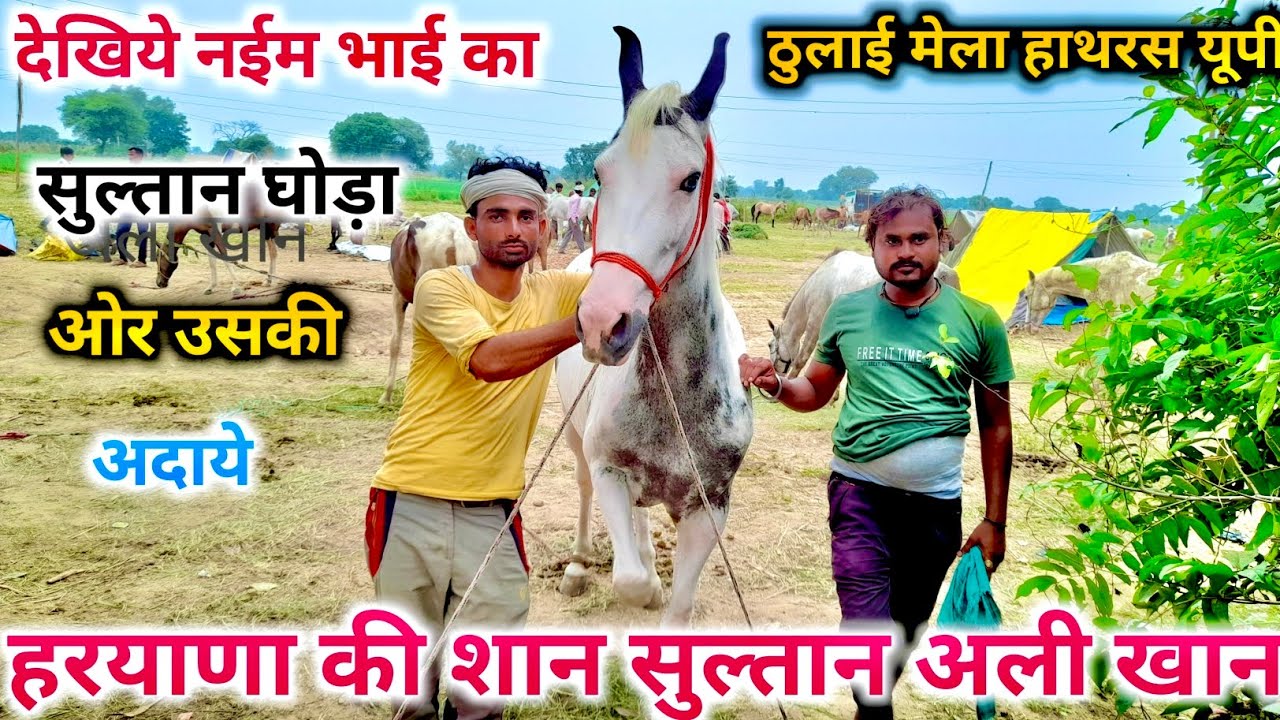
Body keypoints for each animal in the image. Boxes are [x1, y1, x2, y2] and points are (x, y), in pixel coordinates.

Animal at [554, 26, 751, 627]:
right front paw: (642, 585)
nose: (602, 322)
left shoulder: (712, 507)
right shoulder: (610, 471)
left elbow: (679, 606)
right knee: (586, 491)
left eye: (690, 180)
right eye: (600, 172)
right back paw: (577, 566)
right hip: (576, 441)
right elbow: (633, 582)